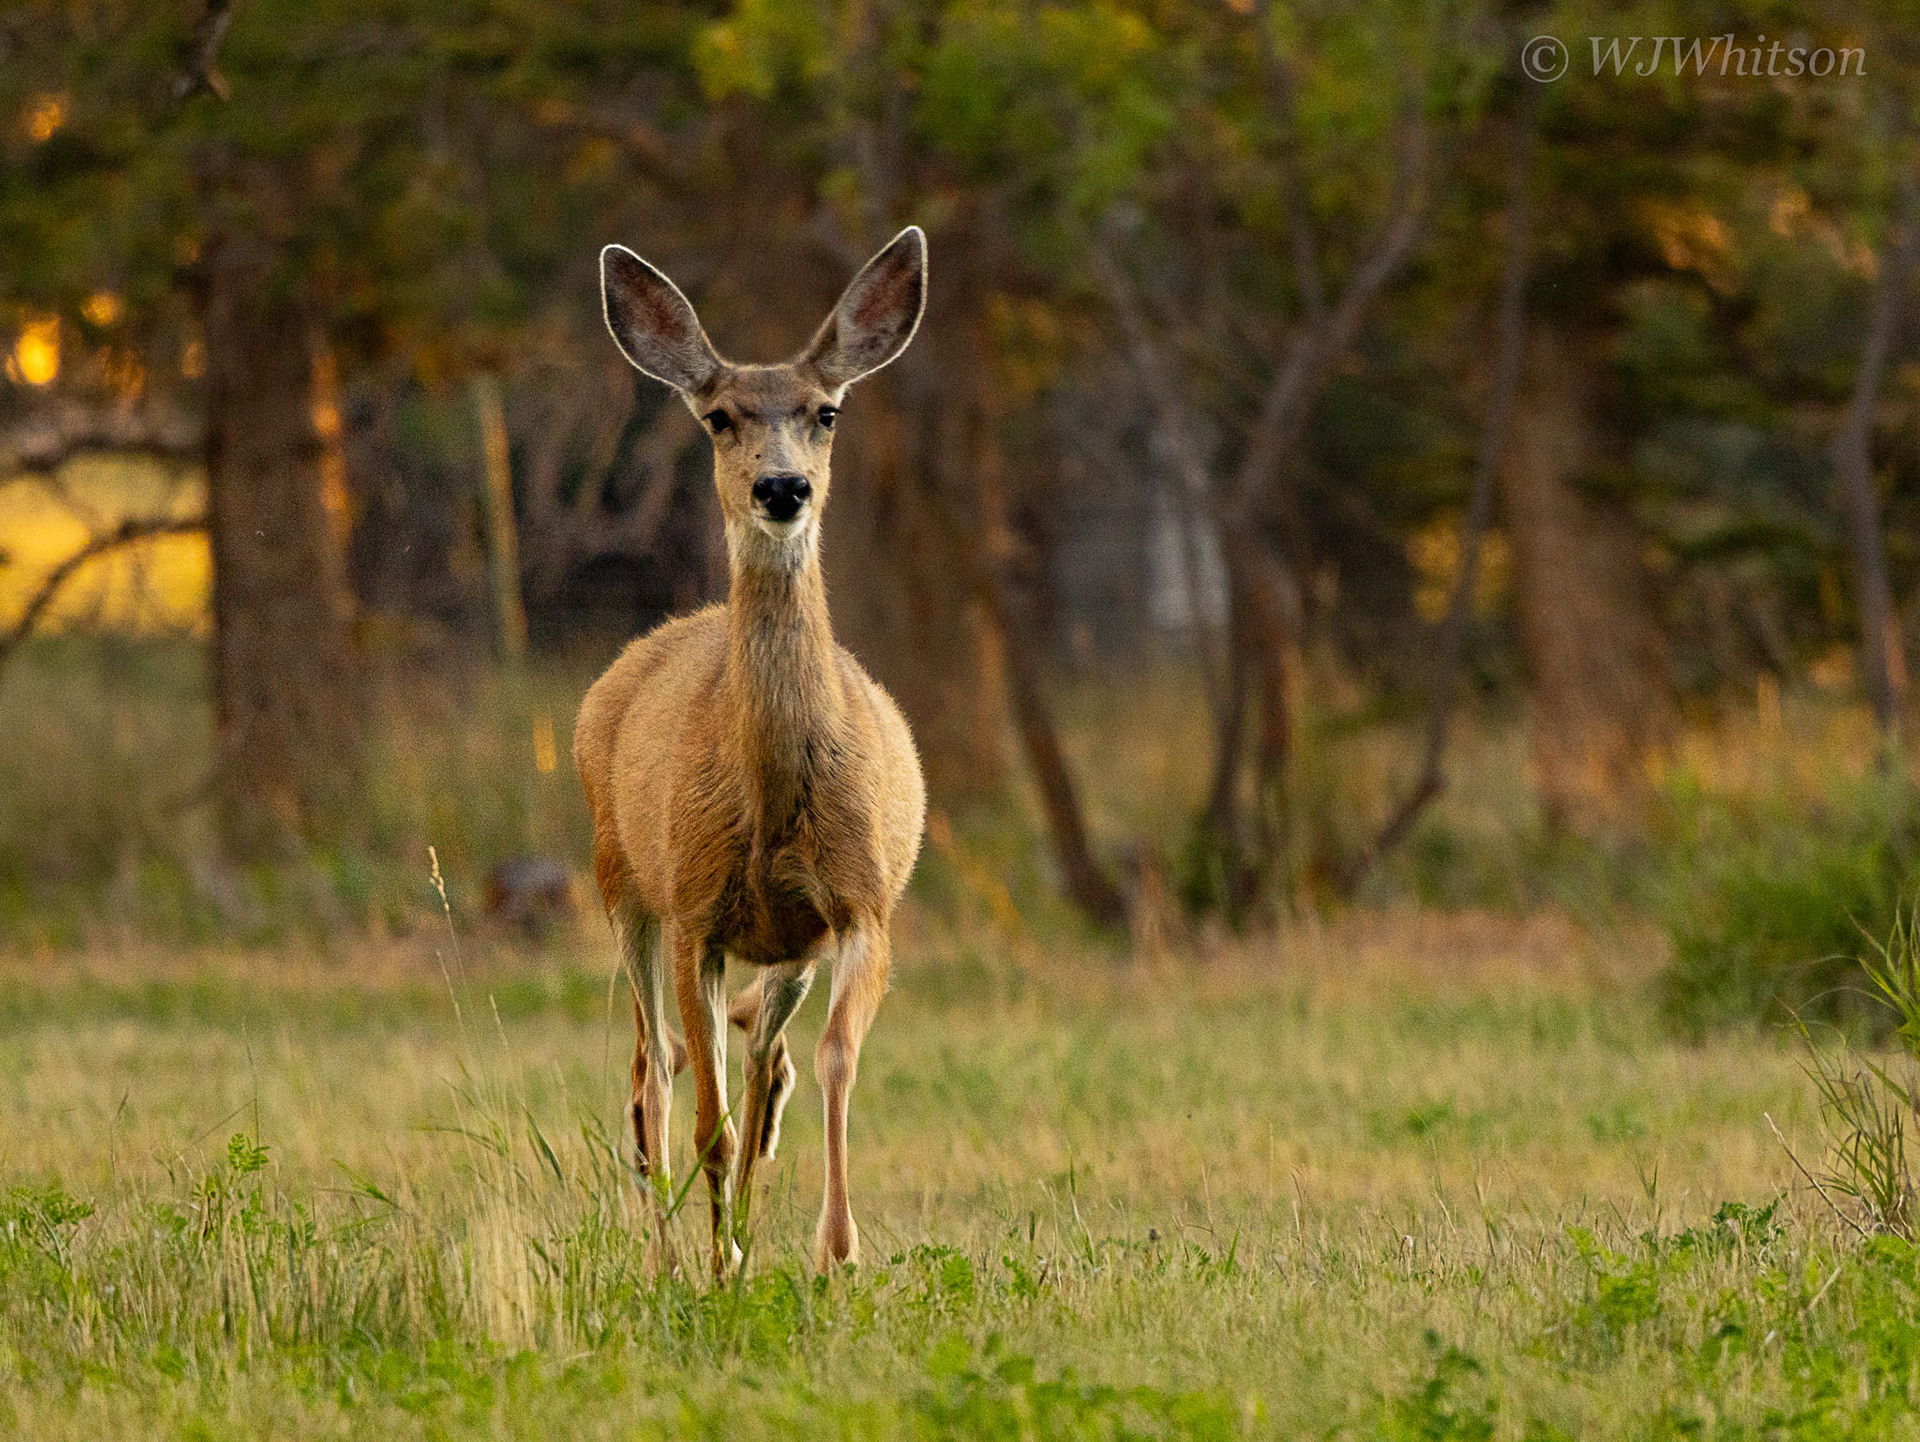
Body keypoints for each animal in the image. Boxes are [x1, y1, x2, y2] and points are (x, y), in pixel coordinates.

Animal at [573, 228, 929, 1279]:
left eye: (827, 412)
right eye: (721, 418)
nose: (783, 487)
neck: (771, 799)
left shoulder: (859, 905)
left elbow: (832, 1063)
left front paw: (835, 1249)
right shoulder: (697, 913)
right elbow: (709, 1115)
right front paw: (723, 1262)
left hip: (783, 950)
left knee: (761, 1066)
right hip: (621, 880)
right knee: (656, 1072)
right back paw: (668, 1256)